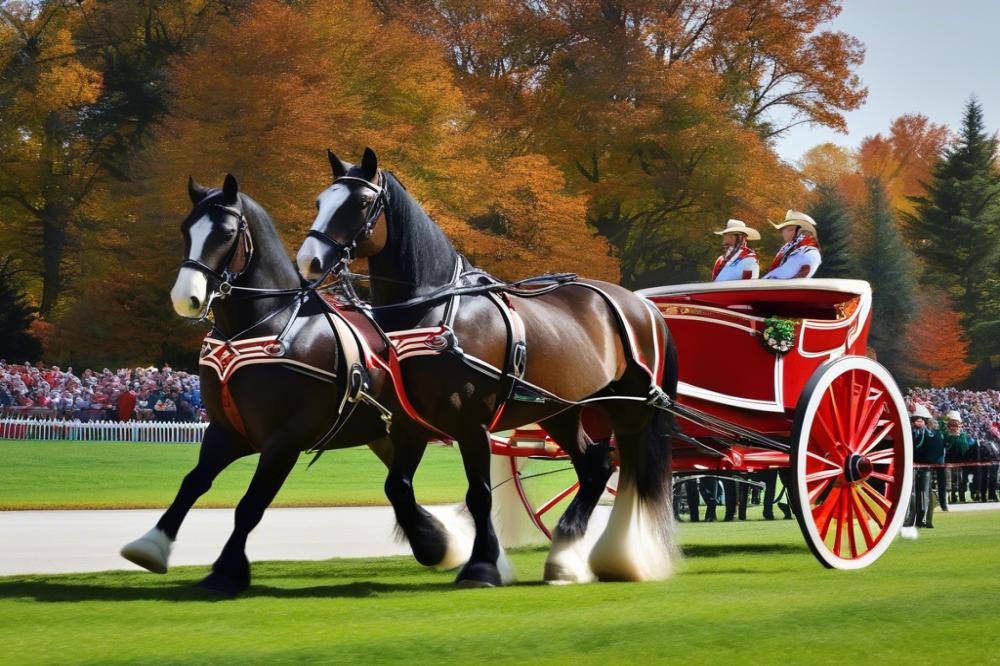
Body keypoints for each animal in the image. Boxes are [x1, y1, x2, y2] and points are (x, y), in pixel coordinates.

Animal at [117, 174, 476, 592]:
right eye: (185, 229)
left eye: (225, 233)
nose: (185, 297)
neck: (269, 323)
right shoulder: (227, 431)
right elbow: (193, 482)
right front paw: (151, 544)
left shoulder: (285, 440)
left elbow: (251, 504)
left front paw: (226, 570)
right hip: (386, 435)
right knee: (402, 489)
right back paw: (438, 541)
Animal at [296, 149, 684, 580]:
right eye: (320, 201)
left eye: (362, 203)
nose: (309, 261)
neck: (433, 310)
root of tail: (642, 305)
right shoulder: (409, 424)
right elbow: (397, 487)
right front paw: (435, 545)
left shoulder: (471, 424)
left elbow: (479, 495)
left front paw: (481, 564)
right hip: (561, 409)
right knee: (596, 466)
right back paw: (565, 553)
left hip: (630, 407)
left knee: (630, 473)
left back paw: (620, 555)